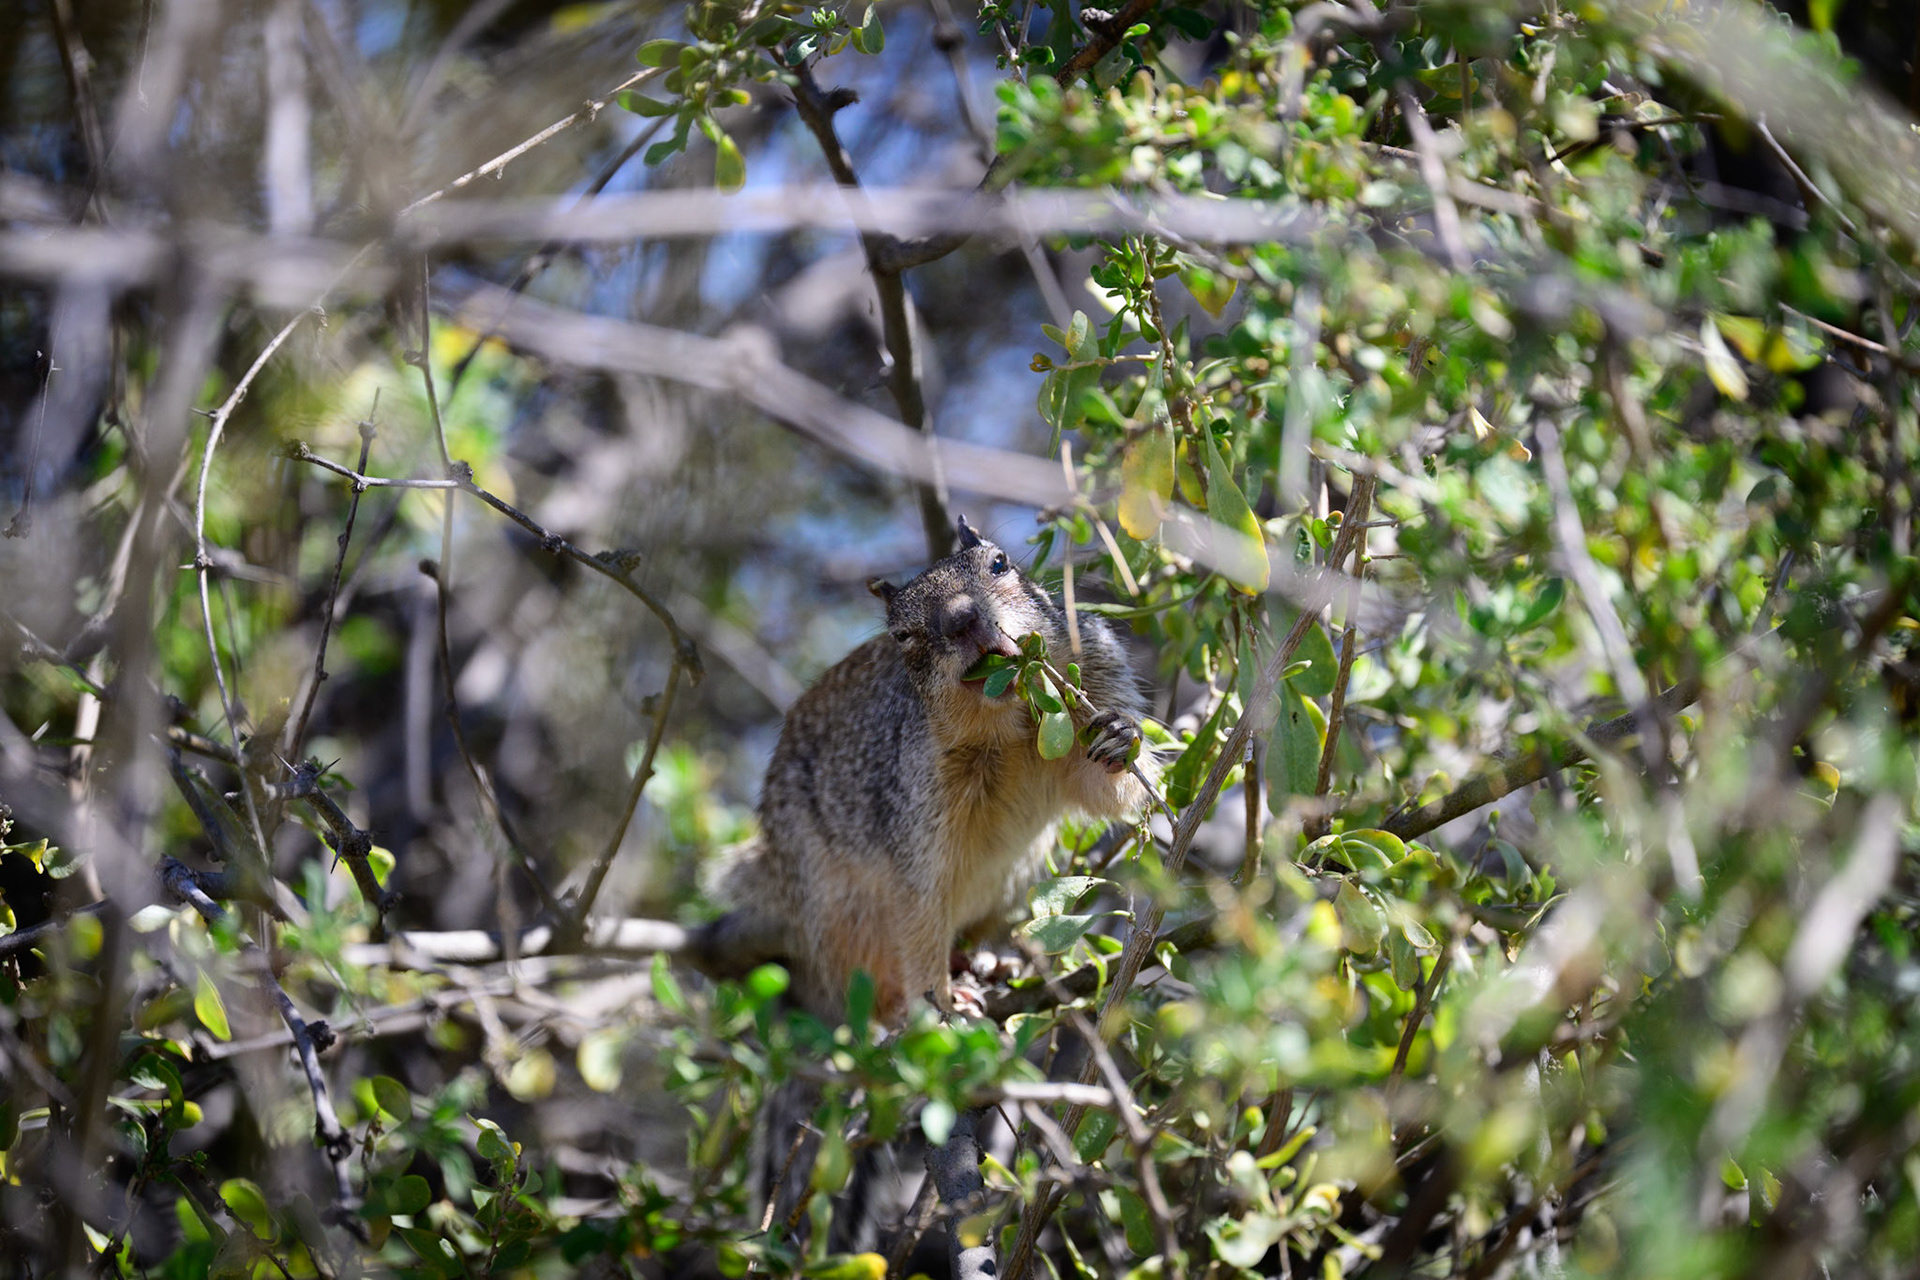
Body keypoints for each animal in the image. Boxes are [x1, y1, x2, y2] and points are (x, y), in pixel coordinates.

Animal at [693, 514, 1152, 1024]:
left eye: (1000, 563)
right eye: (901, 635)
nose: (961, 619)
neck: (1010, 728)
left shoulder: (1097, 665)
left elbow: (1107, 793)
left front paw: (1118, 734)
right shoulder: (916, 809)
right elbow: (920, 913)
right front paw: (940, 1006)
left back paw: (988, 958)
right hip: (836, 909)